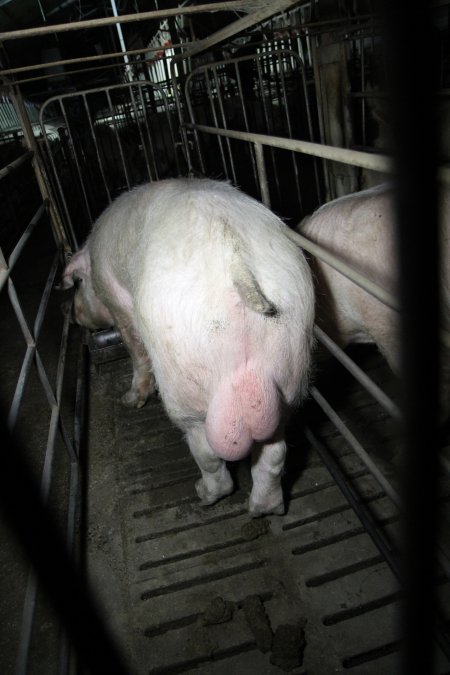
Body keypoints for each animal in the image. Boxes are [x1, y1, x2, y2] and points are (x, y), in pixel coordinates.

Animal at [62, 177, 316, 516]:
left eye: (78, 282)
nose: (71, 313)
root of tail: (236, 263)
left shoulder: (115, 298)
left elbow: (135, 349)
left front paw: (131, 400)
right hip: (290, 365)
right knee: (274, 451)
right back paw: (265, 509)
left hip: (184, 381)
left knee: (207, 452)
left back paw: (203, 494)